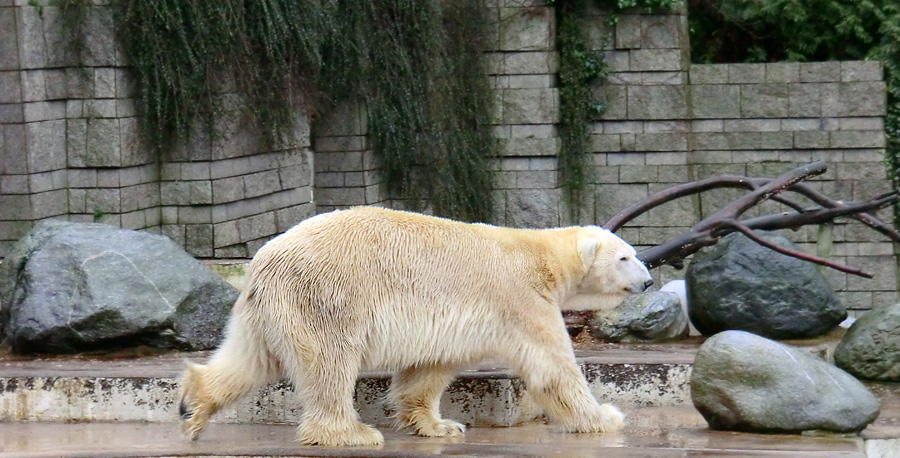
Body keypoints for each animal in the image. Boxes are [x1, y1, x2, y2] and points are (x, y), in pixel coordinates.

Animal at [178, 206, 652, 446]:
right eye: (625, 256)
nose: (648, 281)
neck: (543, 258)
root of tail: (262, 261)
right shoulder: (521, 299)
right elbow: (553, 368)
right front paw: (606, 417)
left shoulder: (451, 324)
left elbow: (429, 368)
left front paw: (441, 426)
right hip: (327, 296)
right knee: (330, 363)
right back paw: (352, 433)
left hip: (269, 309)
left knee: (249, 358)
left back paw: (194, 404)